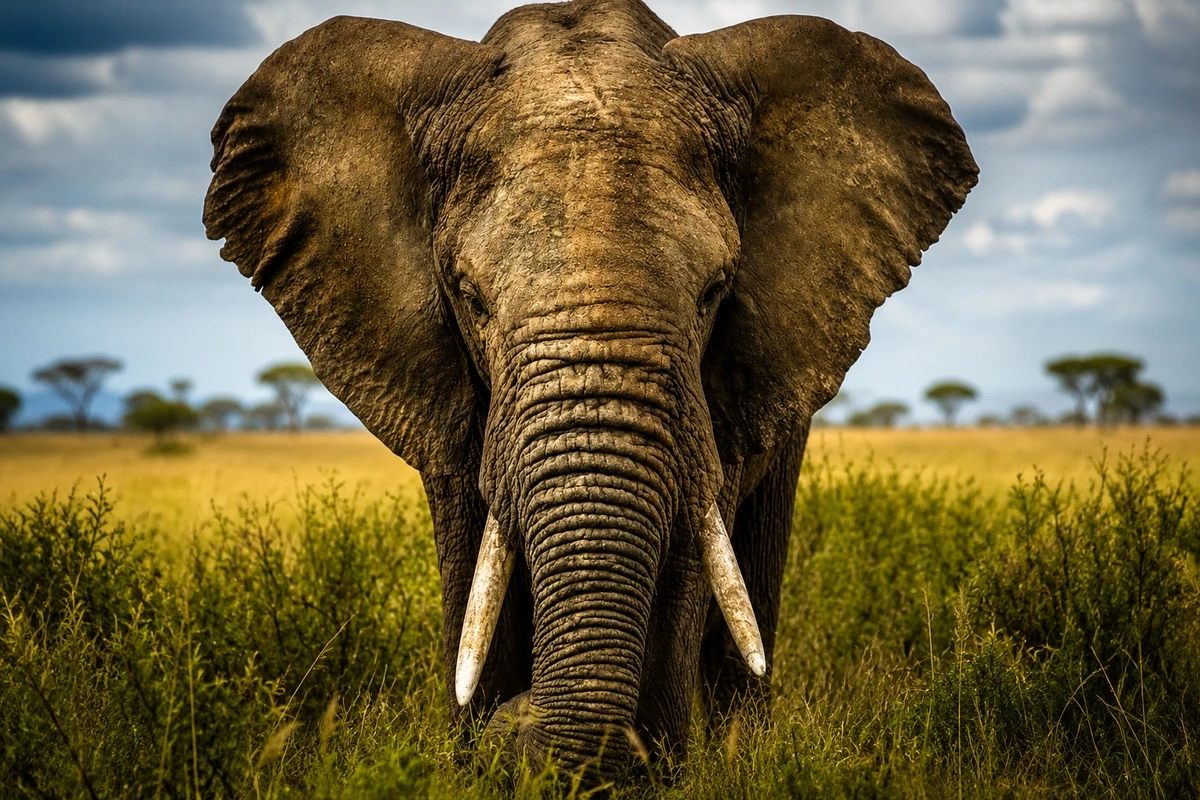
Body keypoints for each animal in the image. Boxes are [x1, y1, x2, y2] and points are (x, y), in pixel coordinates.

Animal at [203, 0, 977, 781]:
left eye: (715, 290)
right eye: (468, 296)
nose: (516, 719)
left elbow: (689, 563)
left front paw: (651, 770)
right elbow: (473, 564)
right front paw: (478, 750)